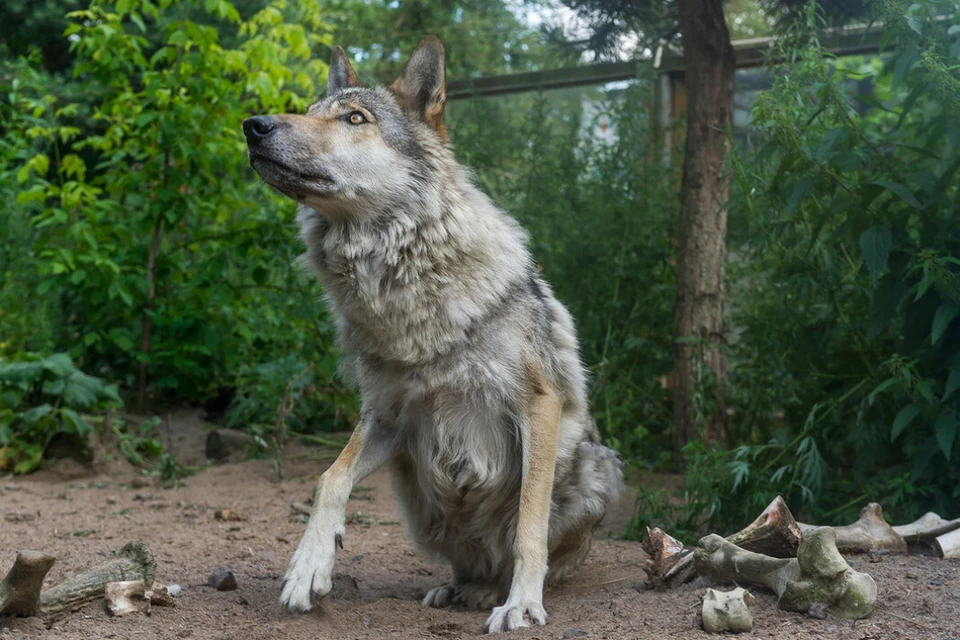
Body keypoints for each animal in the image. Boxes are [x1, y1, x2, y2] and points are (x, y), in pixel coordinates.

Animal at [242, 36, 624, 636]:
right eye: (309, 111)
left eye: (355, 119)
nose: (253, 125)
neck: (405, 286)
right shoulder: (387, 415)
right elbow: (330, 478)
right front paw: (308, 567)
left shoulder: (537, 405)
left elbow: (529, 525)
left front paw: (521, 604)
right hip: (419, 499)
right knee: (466, 562)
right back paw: (458, 589)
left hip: (597, 465)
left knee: (527, 551)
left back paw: (492, 591)